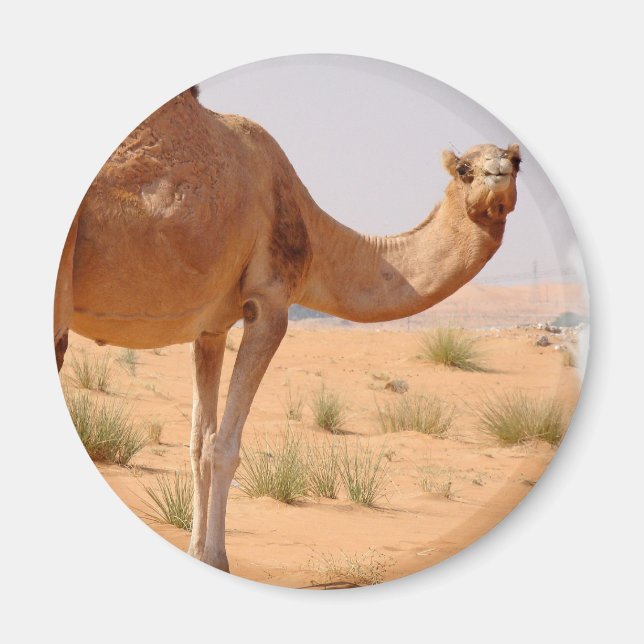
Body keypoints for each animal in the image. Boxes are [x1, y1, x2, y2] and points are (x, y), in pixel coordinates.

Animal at [54, 86, 521, 572]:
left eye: (516, 160)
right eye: (465, 169)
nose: (498, 170)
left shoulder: (210, 329)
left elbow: (199, 444)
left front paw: (198, 552)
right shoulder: (270, 303)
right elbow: (224, 446)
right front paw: (218, 559)